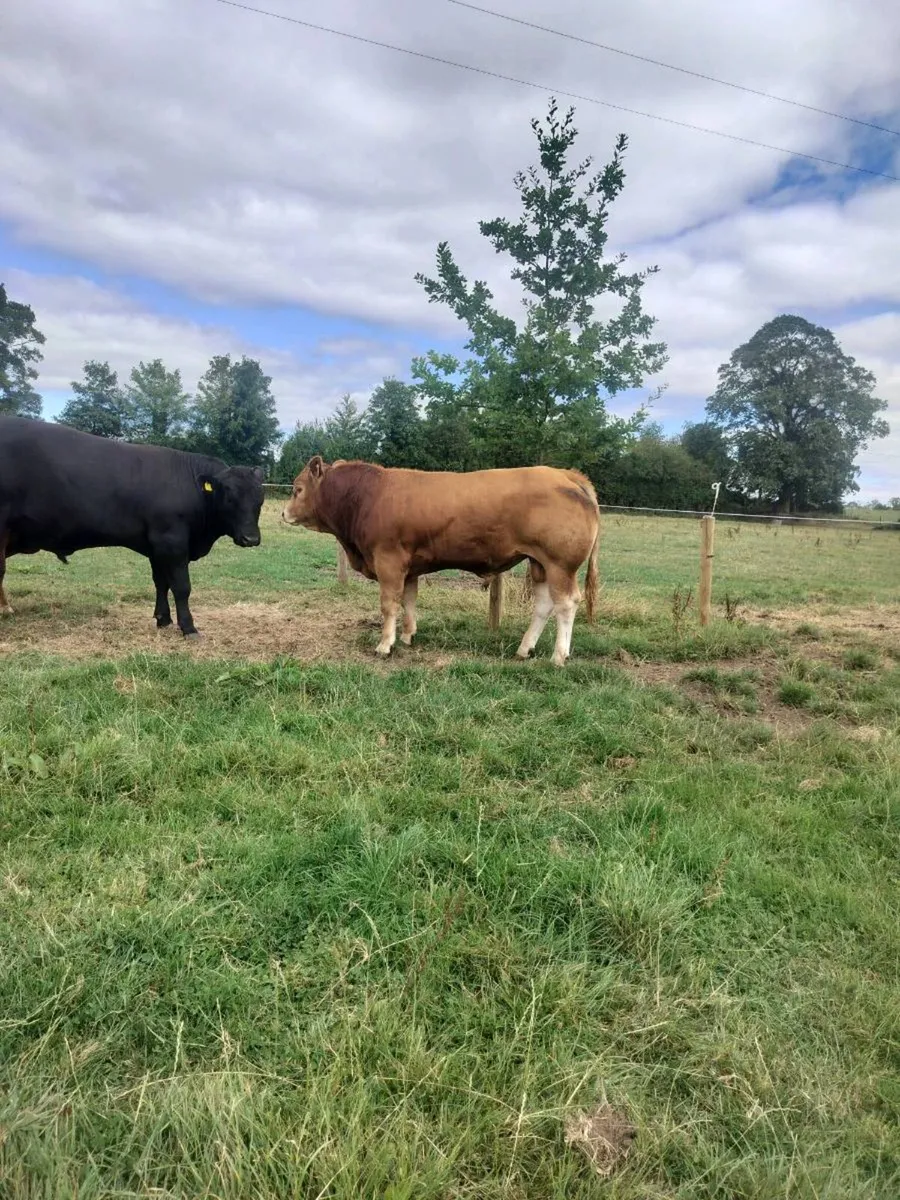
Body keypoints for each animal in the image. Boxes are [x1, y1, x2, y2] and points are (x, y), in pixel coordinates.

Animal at [0, 416, 265, 638]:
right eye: (229, 496)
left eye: (259, 498)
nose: (251, 539)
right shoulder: (172, 542)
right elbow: (181, 586)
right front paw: (188, 627)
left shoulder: (157, 547)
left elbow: (161, 582)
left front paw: (163, 619)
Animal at [281, 456, 600, 666]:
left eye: (297, 489)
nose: (284, 513)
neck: (366, 496)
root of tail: (565, 474)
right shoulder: (409, 568)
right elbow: (409, 600)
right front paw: (407, 636)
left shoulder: (388, 562)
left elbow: (389, 605)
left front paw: (385, 644)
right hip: (539, 563)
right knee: (544, 605)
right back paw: (524, 649)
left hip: (560, 564)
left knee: (566, 603)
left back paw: (558, 656)